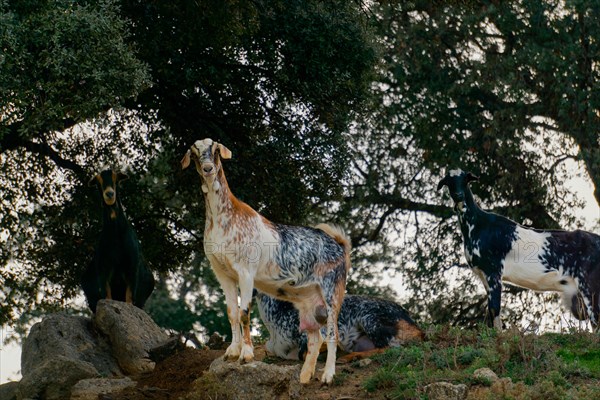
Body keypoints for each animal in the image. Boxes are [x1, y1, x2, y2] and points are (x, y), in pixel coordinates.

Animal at [81, 169, 155, 312]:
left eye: (116, 179)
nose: (109, 194)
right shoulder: (103, 267)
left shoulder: (132, 264)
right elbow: (107, 296)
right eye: (98, 181)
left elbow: (130, 298)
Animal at [183, 138, 352, 384]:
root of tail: (340, 246)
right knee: (315, 337)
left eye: (215, 150)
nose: (207, 169)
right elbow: (231, 312)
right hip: (308, 301)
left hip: (333, 291)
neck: (224, 217)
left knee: (333, 333)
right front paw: (231, 351)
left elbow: (244, 312)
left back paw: (328, 375)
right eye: (194, 152)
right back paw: (305, 376)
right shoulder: (222, 272)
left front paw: (246, 354)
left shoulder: (246, 271)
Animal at [436, 168, 600, 328]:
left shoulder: (494, 271)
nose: (458, 195)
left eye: (465, 179)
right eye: (449, 181)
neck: (478, 225)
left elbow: (495, 308)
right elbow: (490, 311)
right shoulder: (483, 274)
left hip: (589, 286)